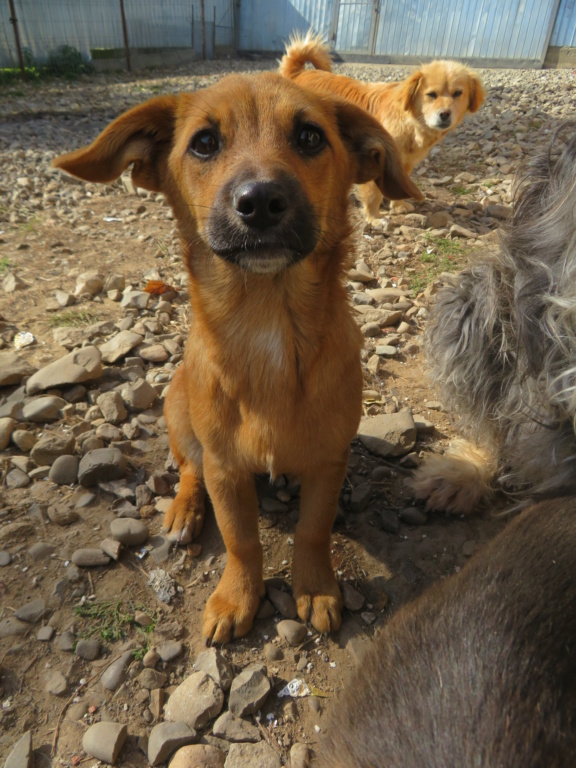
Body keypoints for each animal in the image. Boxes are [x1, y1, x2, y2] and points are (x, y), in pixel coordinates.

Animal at [53, 75, 418, 644]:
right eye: (204, 142)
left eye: (310, 137)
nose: (262, 200)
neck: (266, 326)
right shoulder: (225, 469)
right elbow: (241, 540)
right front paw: (236, 597)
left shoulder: (329, 462)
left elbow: (313, 530)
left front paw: (316, 588)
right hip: (179, 415)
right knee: (188, 469)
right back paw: (184, 509)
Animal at [282, 33, 484, 225]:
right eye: (431, 95)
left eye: (458, 93)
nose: (445, 114)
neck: (410, 121)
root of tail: (298, 73)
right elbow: (373, 195)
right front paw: (374, 218)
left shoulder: (404, 162)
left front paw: (398, 206)